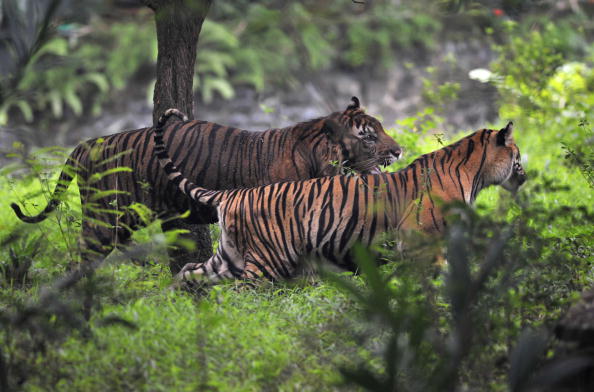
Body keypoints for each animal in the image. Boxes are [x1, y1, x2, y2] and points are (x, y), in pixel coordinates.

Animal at [151, 111, 524, 284]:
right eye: (519, 156)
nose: (525, 176)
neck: (474, 173)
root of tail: (232, 195)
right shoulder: (423, 243)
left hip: (227, 257)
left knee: (188, 273)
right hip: (266, 260)